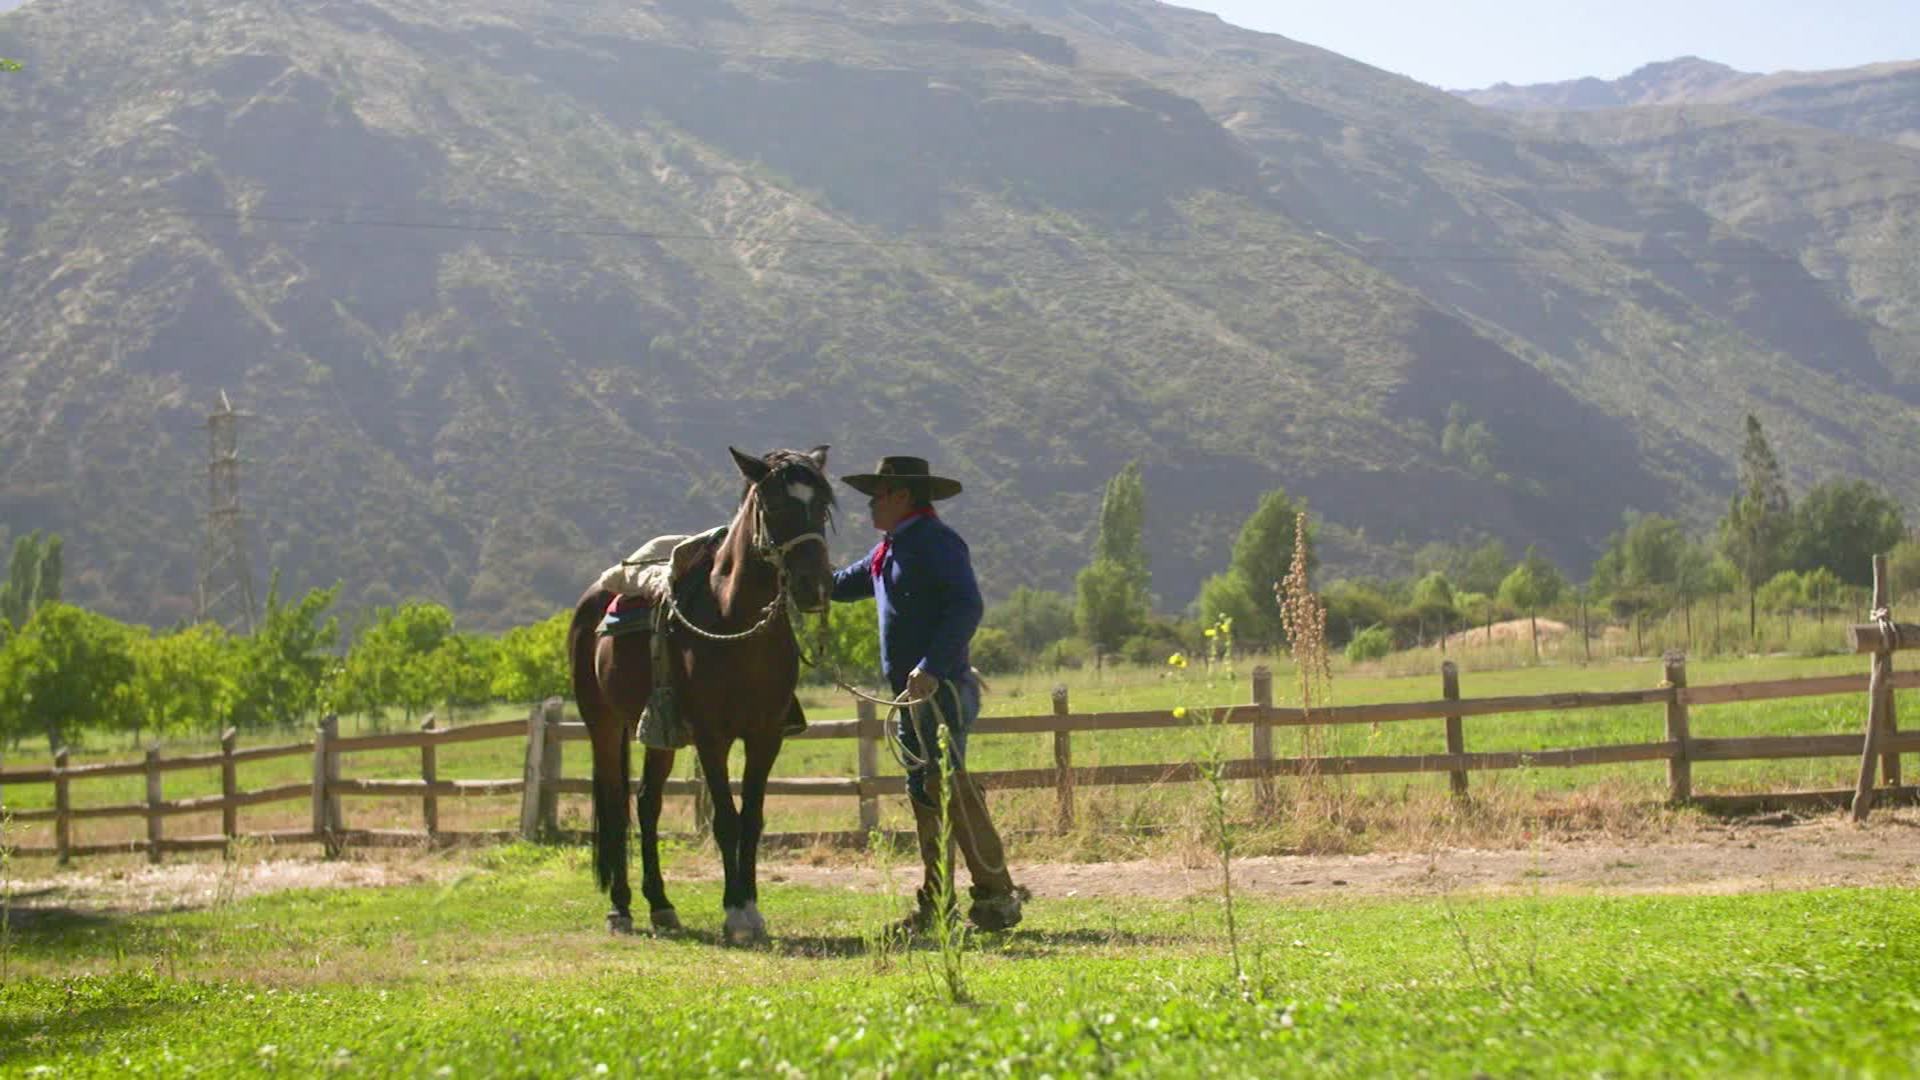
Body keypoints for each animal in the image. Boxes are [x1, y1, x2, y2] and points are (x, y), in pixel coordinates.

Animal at [560, 441, 833, 937]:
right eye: (774, 506)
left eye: (821, 505)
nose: (815, 586)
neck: (736, 625)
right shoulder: (711, 736)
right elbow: (726, 819)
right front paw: (735, 911)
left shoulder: (765, 736)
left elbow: (753, 820)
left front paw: (752, 909)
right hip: (603, 723)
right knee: (616, 804)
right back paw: (621, 907)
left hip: (658, 731)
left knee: (647, 804)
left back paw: (661, 904)